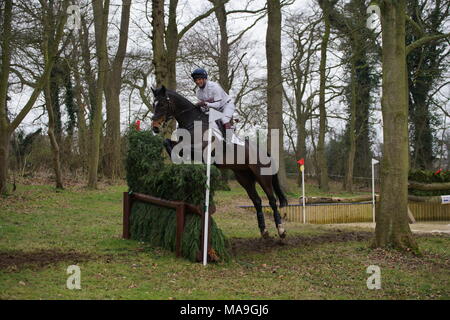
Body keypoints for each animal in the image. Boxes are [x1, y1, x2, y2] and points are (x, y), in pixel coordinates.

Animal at [149, 85, 286, 238]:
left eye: (162, 104)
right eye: (154, 104)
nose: (155, 127)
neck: (192, 122)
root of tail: (264, 152)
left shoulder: (203, 150)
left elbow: (185, 148)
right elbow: (168, 143)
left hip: (262, 176)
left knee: (272, 200)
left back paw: (281, 230)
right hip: (244, 177)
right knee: (256, 200)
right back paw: (264, 230)